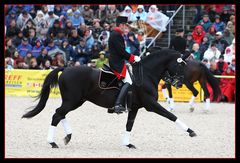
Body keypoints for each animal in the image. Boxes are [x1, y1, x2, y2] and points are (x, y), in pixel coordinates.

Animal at [21, 47, 196, 148]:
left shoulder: (134, 108)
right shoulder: (151, 104)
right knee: (57, 114)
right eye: (180, 65)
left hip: (76, 101)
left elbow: (129, 125)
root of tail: (66, 68)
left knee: (60, 113)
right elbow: (171, 116)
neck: (146, 74)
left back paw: (67, 136)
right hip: (72, 101)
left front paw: (127, 144)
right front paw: (191, 131)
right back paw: (52, 142)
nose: (179, 83)